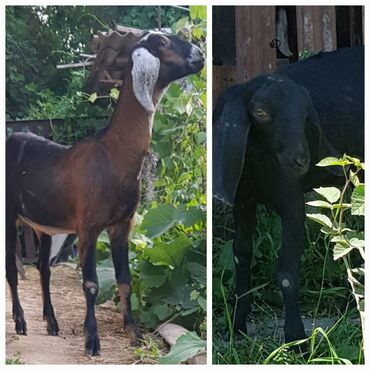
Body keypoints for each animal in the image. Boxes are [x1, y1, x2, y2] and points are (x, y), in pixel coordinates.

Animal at [5, 31, 204, 356]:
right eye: (161, 42)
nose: (200, 54)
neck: (113, 154)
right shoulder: (88, 228)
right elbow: (92, 285)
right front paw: (92, 340)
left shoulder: (123, 225)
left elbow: (125, 280)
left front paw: (135, 334)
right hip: (10, 216)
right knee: (11, 268)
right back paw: (21, 322)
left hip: (44, 226)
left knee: (43, 270)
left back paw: (52, 323)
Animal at [214, 47, 364, 346]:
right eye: (260, 112)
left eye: (306, 113)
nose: (301, 160)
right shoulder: (242, 202)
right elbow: (241, 255)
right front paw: (236, 325)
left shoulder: (292, 203)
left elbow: (286, 271)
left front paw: (296, 339)